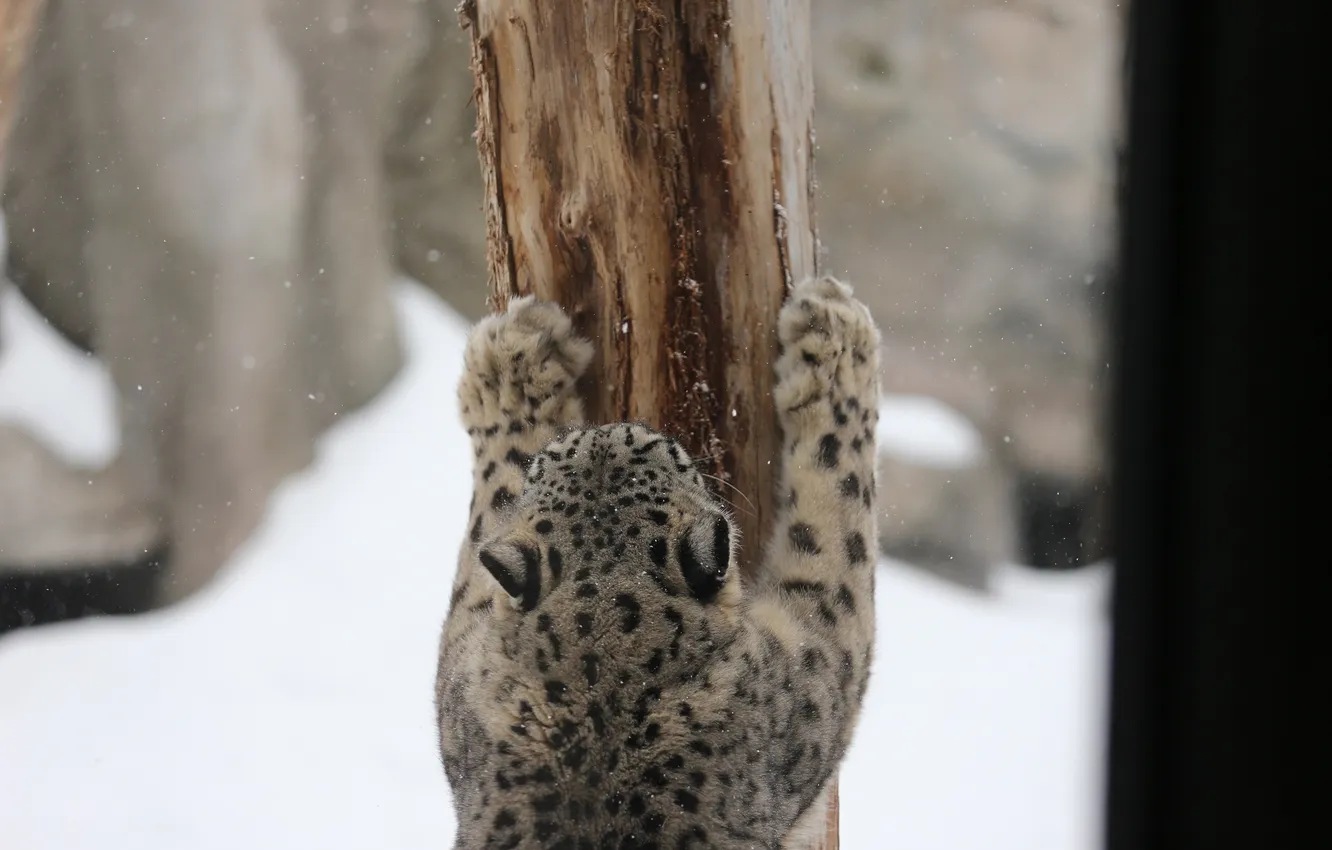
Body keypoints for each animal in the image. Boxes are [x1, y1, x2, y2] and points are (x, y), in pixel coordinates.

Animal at [435, 276, 880, 849]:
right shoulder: (814, 672)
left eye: (548, 460)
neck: (597, 667)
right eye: (672, 453)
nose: (604, 429)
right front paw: (834, 332)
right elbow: (839, 505)